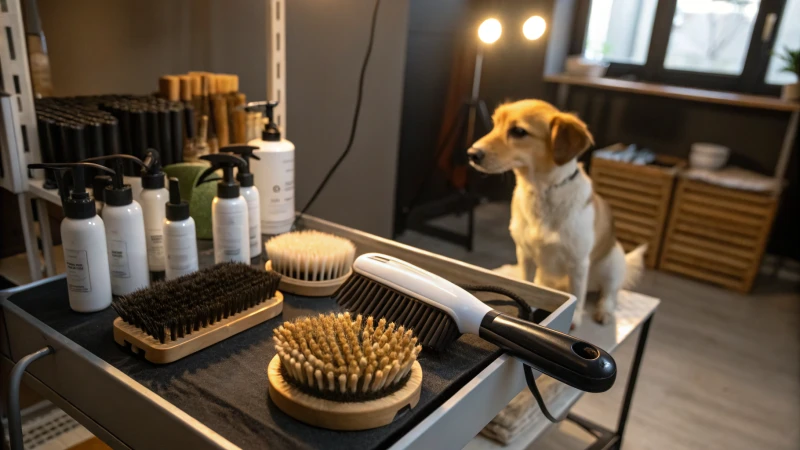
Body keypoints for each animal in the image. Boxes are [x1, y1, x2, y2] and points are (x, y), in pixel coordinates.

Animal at [466, 100, 648, 326]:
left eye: (518, 131)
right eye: (494, 125)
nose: (472, 153)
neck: (541, 192)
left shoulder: (578, 263)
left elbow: (577, 292)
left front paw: (574, 319)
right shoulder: (524, 254)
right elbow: (526, 281)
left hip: (613, 263)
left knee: (609, 293)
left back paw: (604, 310)